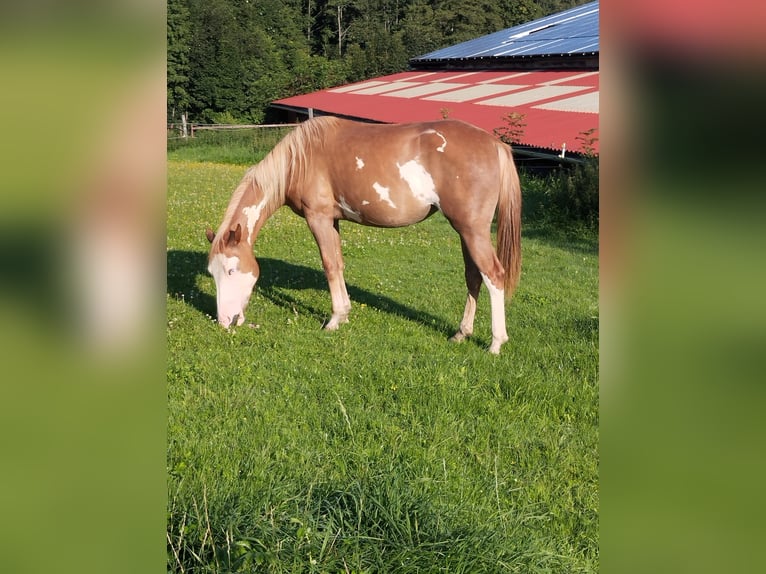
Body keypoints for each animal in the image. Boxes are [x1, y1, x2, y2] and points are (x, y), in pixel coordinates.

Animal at [205, 116, 521, 353]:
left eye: (231, 270)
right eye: (212, 273)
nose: (224, 321)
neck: (300, 159)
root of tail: (495, 144)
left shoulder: (318, 218)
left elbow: (330, 265)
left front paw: (334, 320)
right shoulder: (332, 221)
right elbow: (339, 264)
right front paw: (344, 314)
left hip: (472, 231)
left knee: (494, 276)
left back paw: (496, 343)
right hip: (465, 232)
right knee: (474, 277)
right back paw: (461, 333)